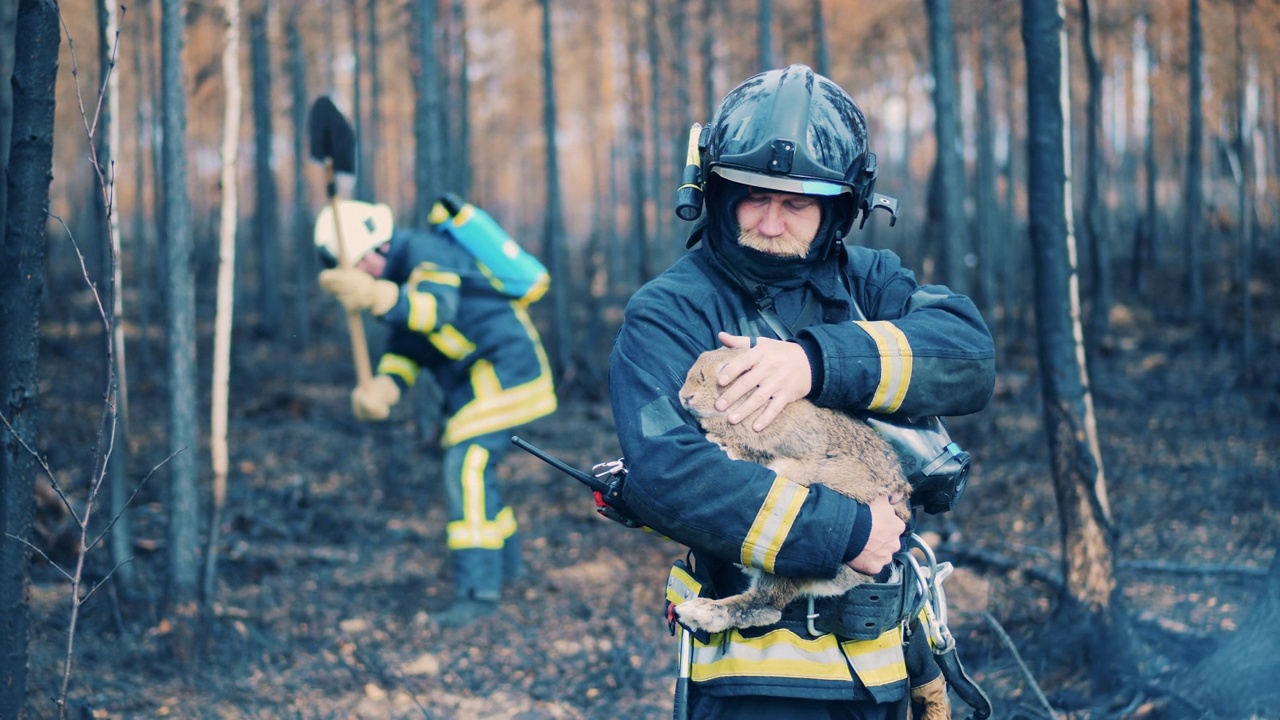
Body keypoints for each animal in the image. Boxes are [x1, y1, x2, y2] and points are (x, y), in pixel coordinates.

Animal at [670, 345, 911, 630]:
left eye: (723, 375)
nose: (685, 396)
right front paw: (719, 440)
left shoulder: (802, 454)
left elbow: (777, 464)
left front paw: (727, 447)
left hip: (788, 566)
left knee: (765, 605)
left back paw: (699, 612)